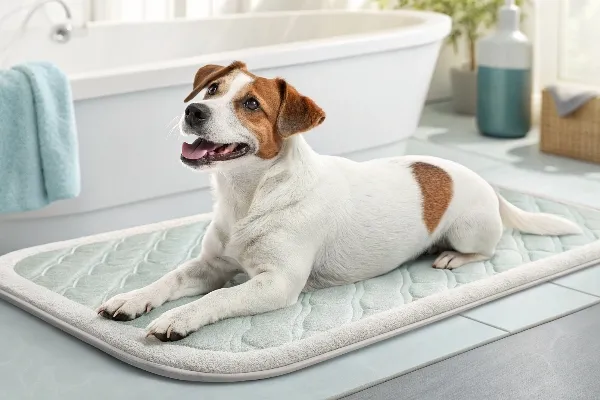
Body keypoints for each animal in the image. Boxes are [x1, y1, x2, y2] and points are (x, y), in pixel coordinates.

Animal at [97, 59, 580, 340]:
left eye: (251, 104)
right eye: (213, 90)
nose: (192, 110)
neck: (249, 195)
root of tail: (485, 182)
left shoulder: (276, 283)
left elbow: (215, 299)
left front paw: (178, 319)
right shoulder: (211, 265)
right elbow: (170, 280)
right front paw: (132, 298)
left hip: (469, 231)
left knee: (485, 250)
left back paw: (450, 258)